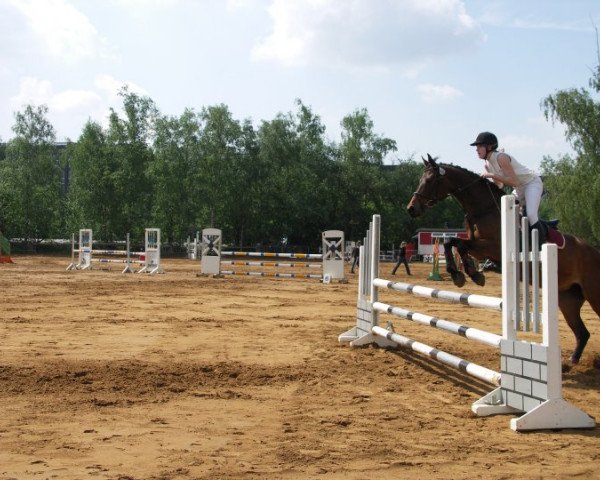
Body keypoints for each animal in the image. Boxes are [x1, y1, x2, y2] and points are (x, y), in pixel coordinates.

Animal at [408, 154, 600, 364]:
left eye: (429, 180)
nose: (411, 209)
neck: (484, 209)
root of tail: (594, 251)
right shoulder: (478, 249)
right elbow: (454, 244)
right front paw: (466, 274)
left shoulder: (493, 247)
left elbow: (456, 243)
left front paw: (466, 274)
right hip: (567, 299)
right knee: (582, 333)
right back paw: (571, 362)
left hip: (593, 294)